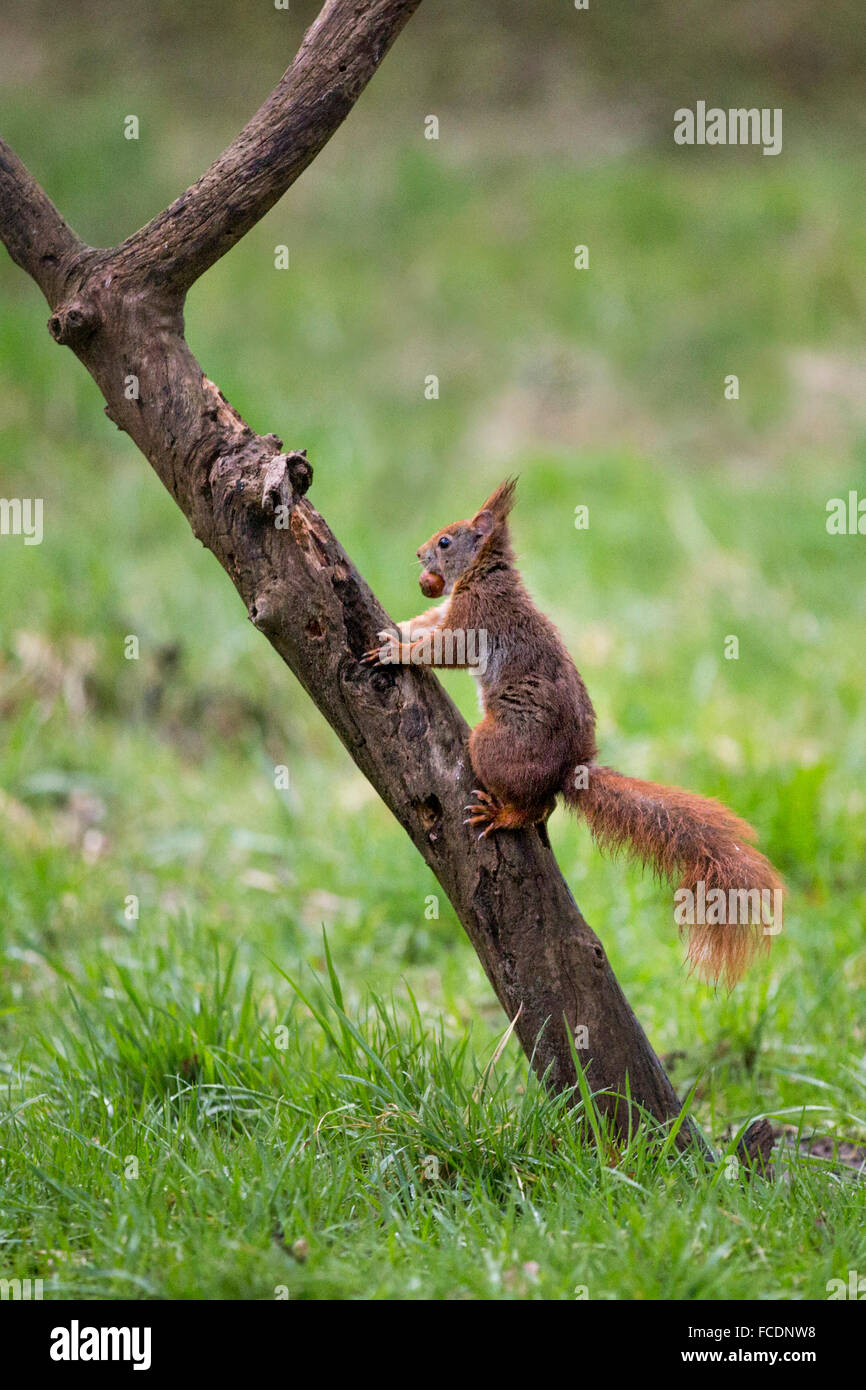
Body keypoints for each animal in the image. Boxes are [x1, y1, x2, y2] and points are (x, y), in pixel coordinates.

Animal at [366, 478, 783, 989]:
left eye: (446, 541)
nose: (419, 552)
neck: (484, 576)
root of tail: (570, 769)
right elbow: (426, 623)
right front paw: (399, 629)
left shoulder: (473, 619)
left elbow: (441, 646)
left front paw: (398, 652)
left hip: (491, 745)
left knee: (536, 805)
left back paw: (504, 814)